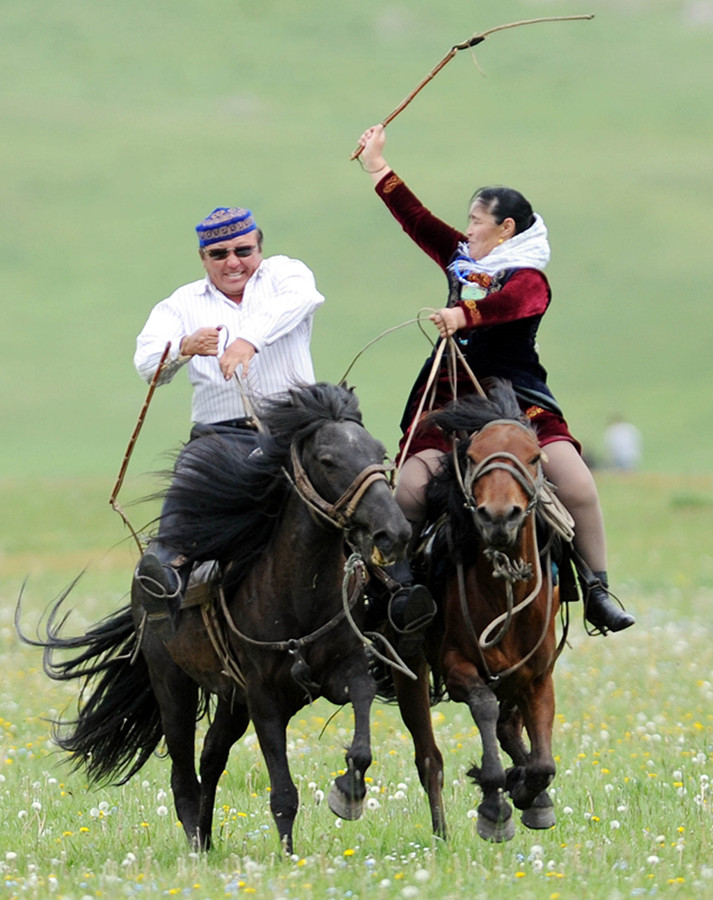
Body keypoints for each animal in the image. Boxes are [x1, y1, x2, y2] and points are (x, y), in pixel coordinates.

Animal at [390, 380, 568, 844]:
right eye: (470, 456)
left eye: (534, 456)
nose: (499, 517)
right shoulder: (457, 667)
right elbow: (484, 708)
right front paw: (494, 803)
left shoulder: (538, 676)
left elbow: (543, 763)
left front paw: (528, 793)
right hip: (410, 672)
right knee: (429, 758)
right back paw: (441, 834)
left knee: (510, 730)